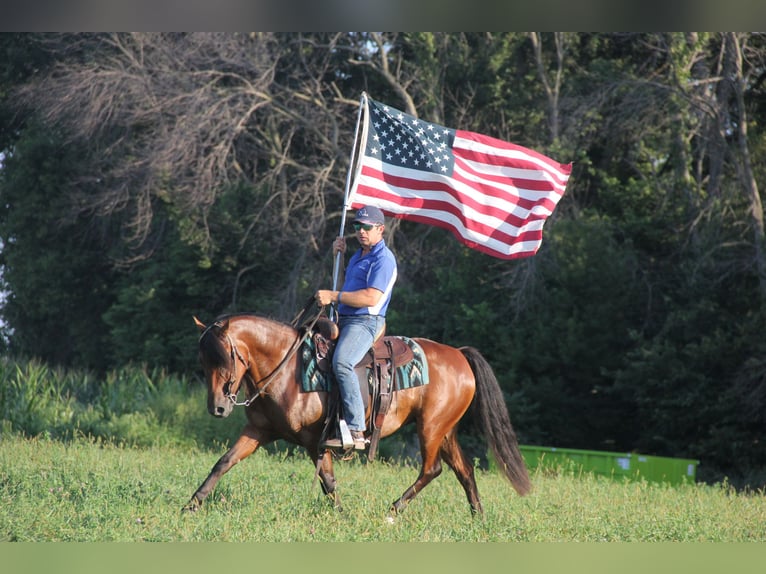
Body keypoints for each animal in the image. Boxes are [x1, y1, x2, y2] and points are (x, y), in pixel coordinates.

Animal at [186, 310, 536, 516]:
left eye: (224, 359)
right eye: (203, 360)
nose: (217, 407)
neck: (288, 370)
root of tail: (459, 355)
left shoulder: (316, 441)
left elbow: (328, 481)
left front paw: (341, 515)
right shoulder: (259, 431)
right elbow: (224, 462)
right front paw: (191, 504)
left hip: (431, 427)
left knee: (432, 469)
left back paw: (394, 510)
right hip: (445, 430)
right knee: (464, 470)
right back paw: (478, 517)